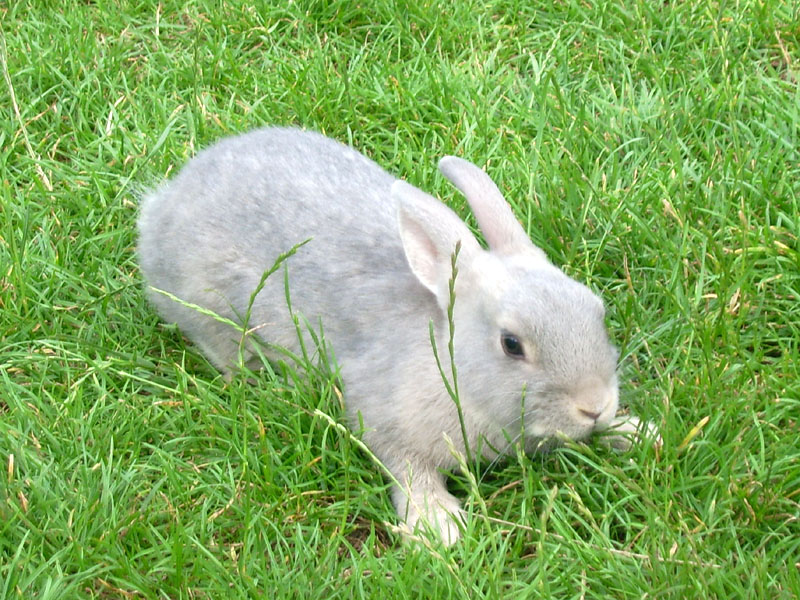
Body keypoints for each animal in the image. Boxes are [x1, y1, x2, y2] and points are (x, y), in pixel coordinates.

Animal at [137, 127, 653, 545]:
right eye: (511, 344)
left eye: (597, 309)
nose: (594, 405)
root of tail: (160, 209)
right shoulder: (384, 419)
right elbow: (407, 467)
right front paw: (437, 527)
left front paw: (637, 433)